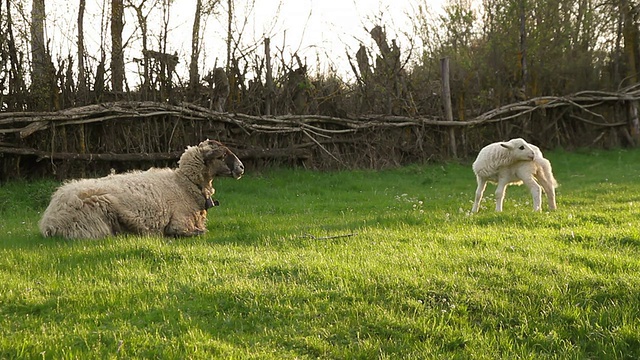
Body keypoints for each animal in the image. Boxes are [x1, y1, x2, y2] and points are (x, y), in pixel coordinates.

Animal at [38, 140, 242, 239]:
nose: (241, 167)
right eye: (220, 156)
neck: (183, 184)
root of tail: (50, 221)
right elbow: (195, 232)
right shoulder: (180, 222)